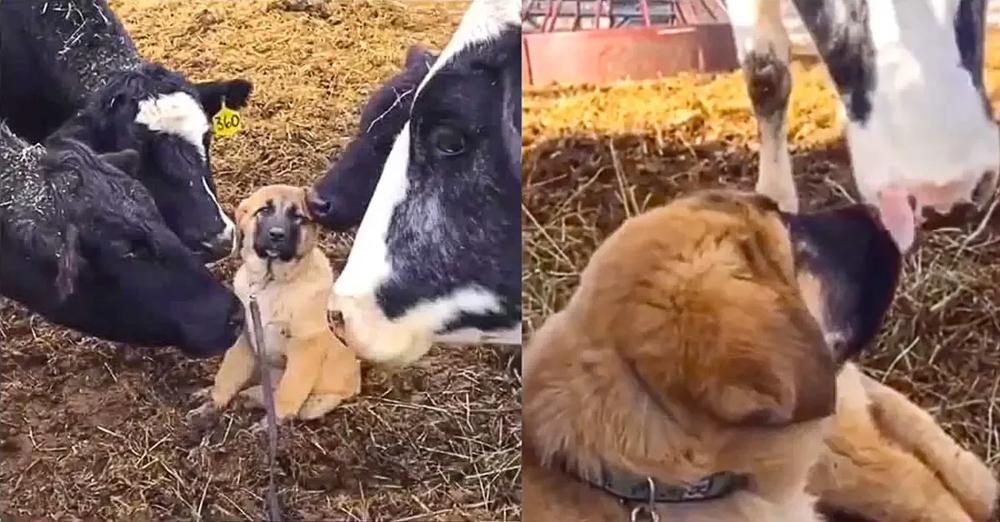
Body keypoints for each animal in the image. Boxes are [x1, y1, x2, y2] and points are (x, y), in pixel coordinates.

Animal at [197, 183, 358, 422]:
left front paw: (273, 422)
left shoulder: (305, 346)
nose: (277, 235)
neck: (271, 282)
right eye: (264, 210)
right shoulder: (244, 338)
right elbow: (227, 374)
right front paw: (213, 403)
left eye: (298, 217)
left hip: (317, 402)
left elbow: (289, 390)